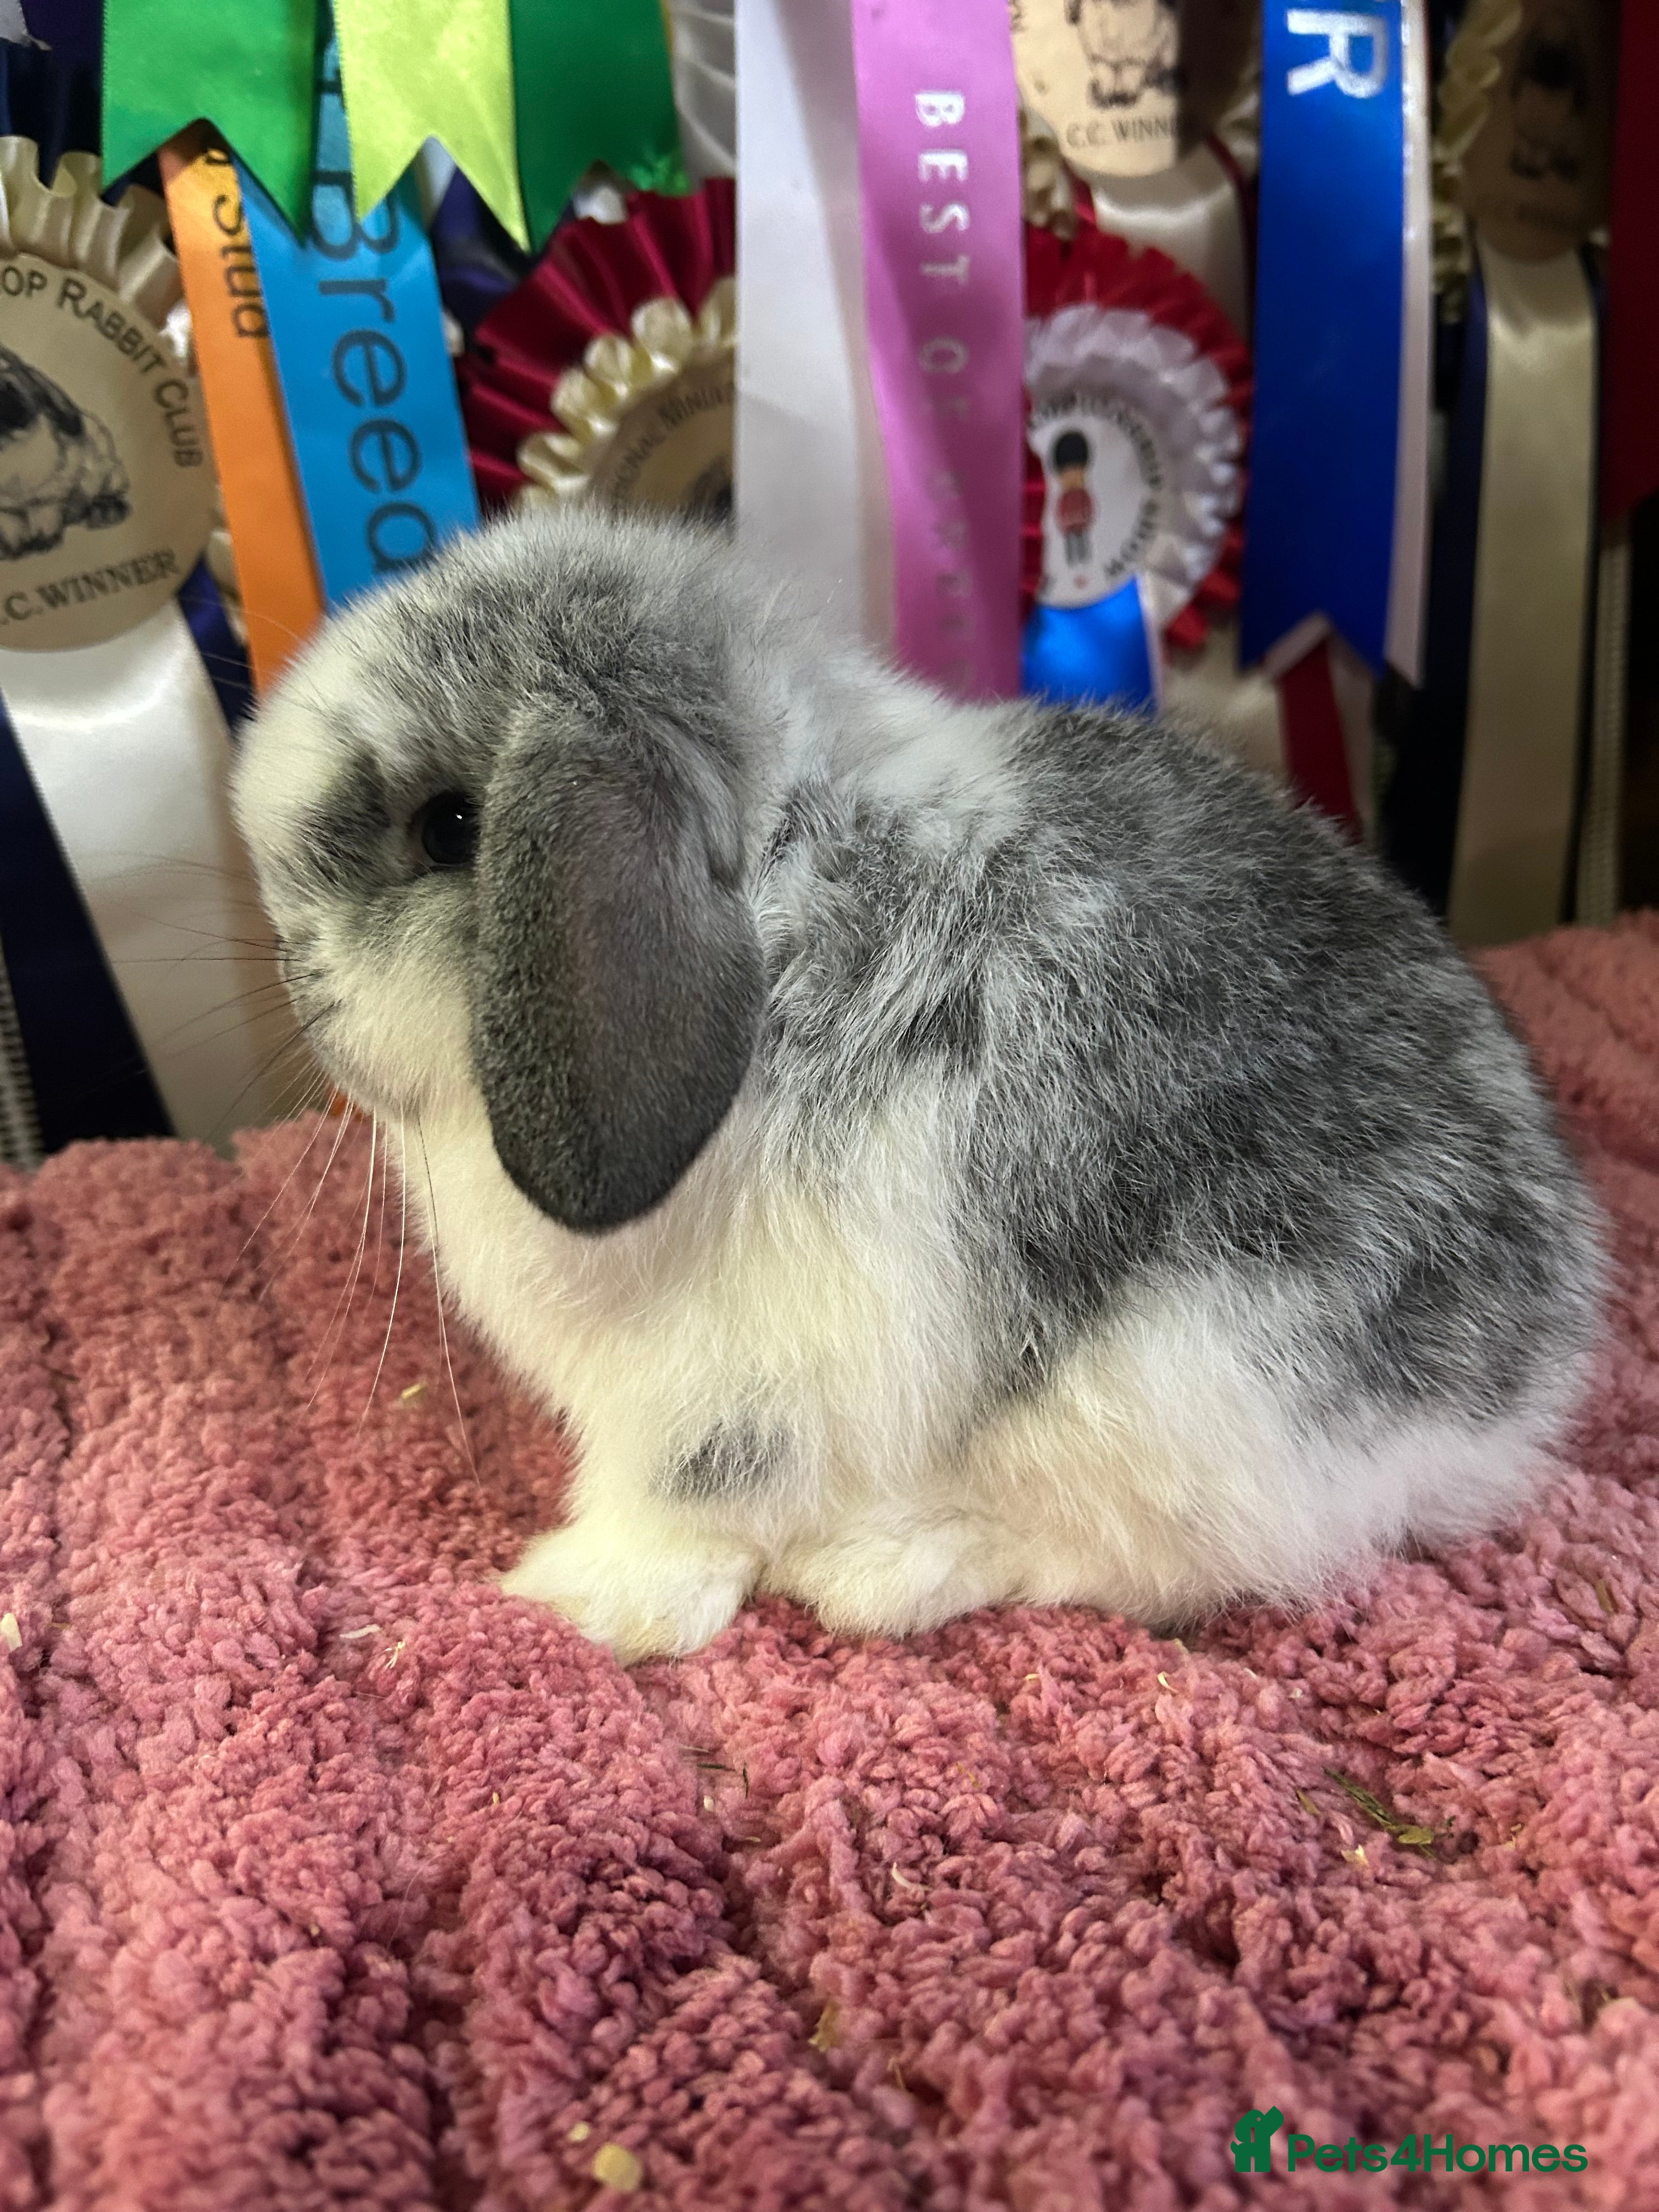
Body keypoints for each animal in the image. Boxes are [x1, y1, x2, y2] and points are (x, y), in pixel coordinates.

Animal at [231, 504, 1605, 1663]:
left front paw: (581, 1597)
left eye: (450, 829)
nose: (296, 980)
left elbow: (684, 1501)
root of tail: (1525, 1389)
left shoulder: (716, 1386)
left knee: (1148, 1559)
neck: (784, 925)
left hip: (1185, 1385)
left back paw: (887, 1567)